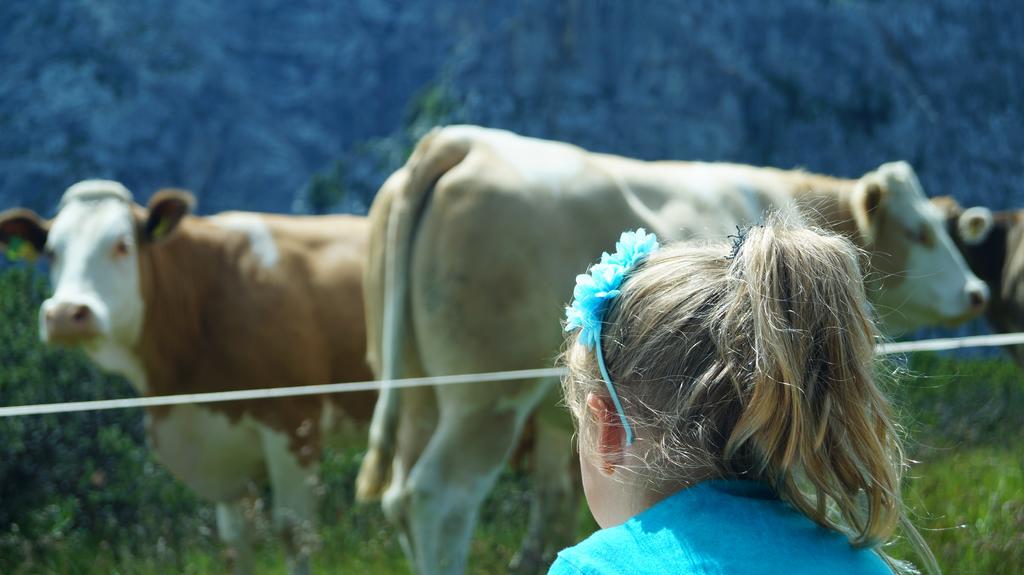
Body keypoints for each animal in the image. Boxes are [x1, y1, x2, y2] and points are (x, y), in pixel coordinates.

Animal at [0, 178, 376, 568]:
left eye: (122, 245)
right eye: (51, 252)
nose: (64, 314)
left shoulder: (293, 423)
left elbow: (294, 532)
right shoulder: (223, 454)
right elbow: (237, 541)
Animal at [356, 126, 987, 572]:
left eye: (945, 227)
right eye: (921, 232)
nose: (976, 291)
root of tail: (464, 140)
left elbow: (554, 496)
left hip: (418, 389)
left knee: (401, 495)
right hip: (484, 397)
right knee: (437, 494)